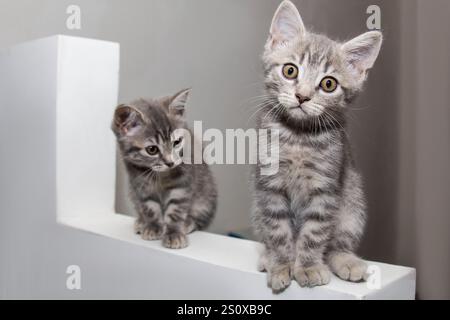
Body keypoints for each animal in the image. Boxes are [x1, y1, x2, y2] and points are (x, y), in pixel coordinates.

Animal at [112, 89, 218, 249]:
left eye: (177, 142)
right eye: (152, 149)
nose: (170, 162)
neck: (160, 175)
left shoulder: (182, 182)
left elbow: (176, 209)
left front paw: (174, 233)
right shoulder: (140, 183)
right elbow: (149, 206)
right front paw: (153, 226)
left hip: (206, 196)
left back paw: (188, 223)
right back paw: (141, 222)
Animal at [251, 0, 382, 292]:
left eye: (328, 84)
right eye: (290, 70)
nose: (302, 96)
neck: (298, 138)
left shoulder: (326, 188)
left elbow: (315, 232)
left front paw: (309, 266)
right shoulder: (269, 186)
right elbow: (277, 230)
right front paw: (281, 264)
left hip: (353, 203)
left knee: (337, 242)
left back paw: (345, 259)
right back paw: (266, 256)